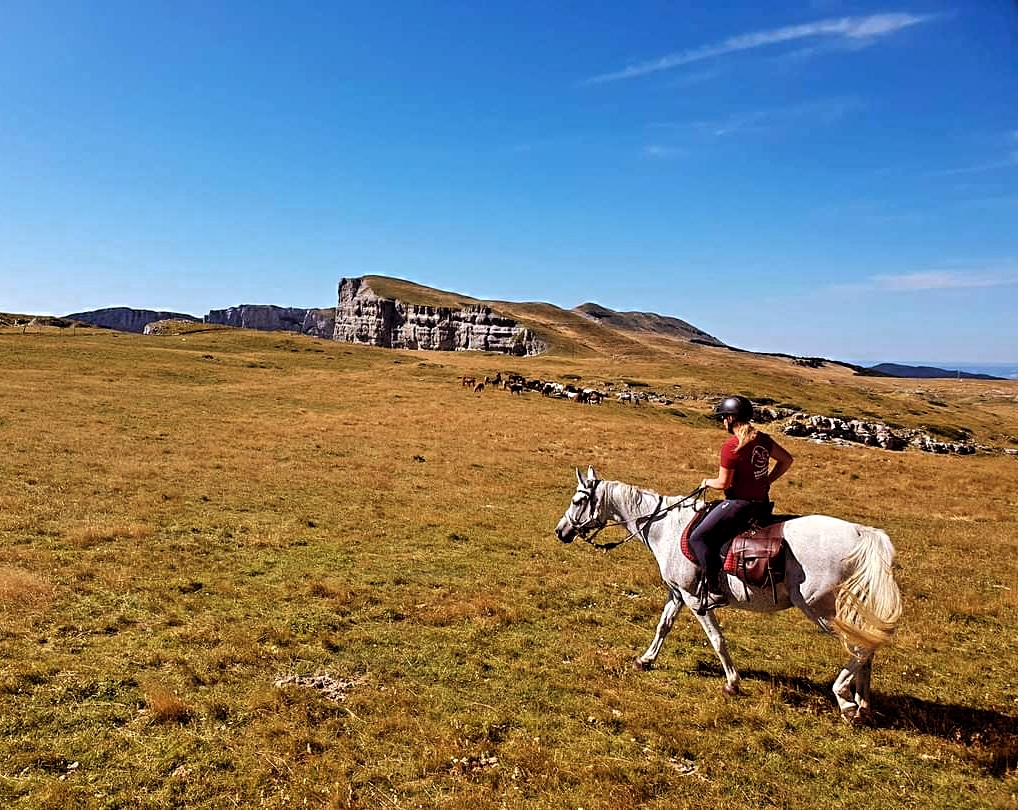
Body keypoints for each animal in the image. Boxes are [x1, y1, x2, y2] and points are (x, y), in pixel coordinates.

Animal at [553, 466, 903, 724]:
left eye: (578, 500)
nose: (561, 531)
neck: (665, 527)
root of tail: (861, 533)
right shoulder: (677, 593)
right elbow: (663, 626)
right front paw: (646, 659)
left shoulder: (695, 599)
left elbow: (717, 639)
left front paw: (732, 682)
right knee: (867, 648)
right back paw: (862, 704)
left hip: (821, 609)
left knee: (859, 649)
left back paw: (845, 699)